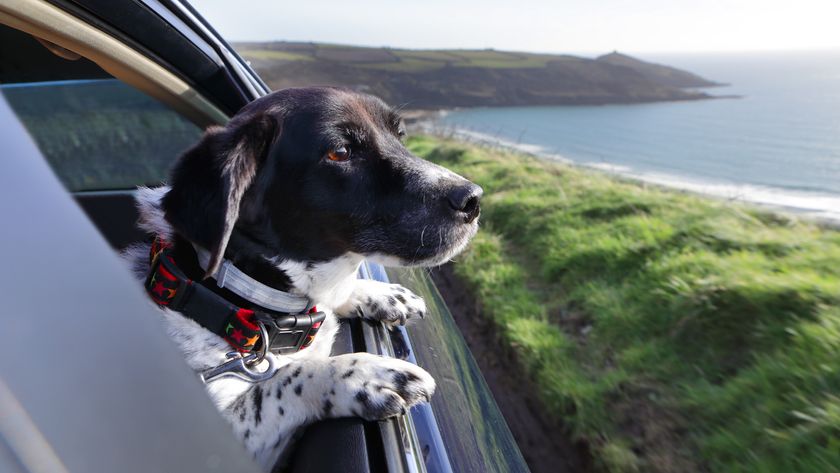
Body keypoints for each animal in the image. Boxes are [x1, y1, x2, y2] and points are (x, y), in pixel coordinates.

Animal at [124, 86, 480, 466]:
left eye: (400, 135)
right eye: (340, 152)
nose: (473, 199)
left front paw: (382, 295)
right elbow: (281, 382)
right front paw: (365, 375)